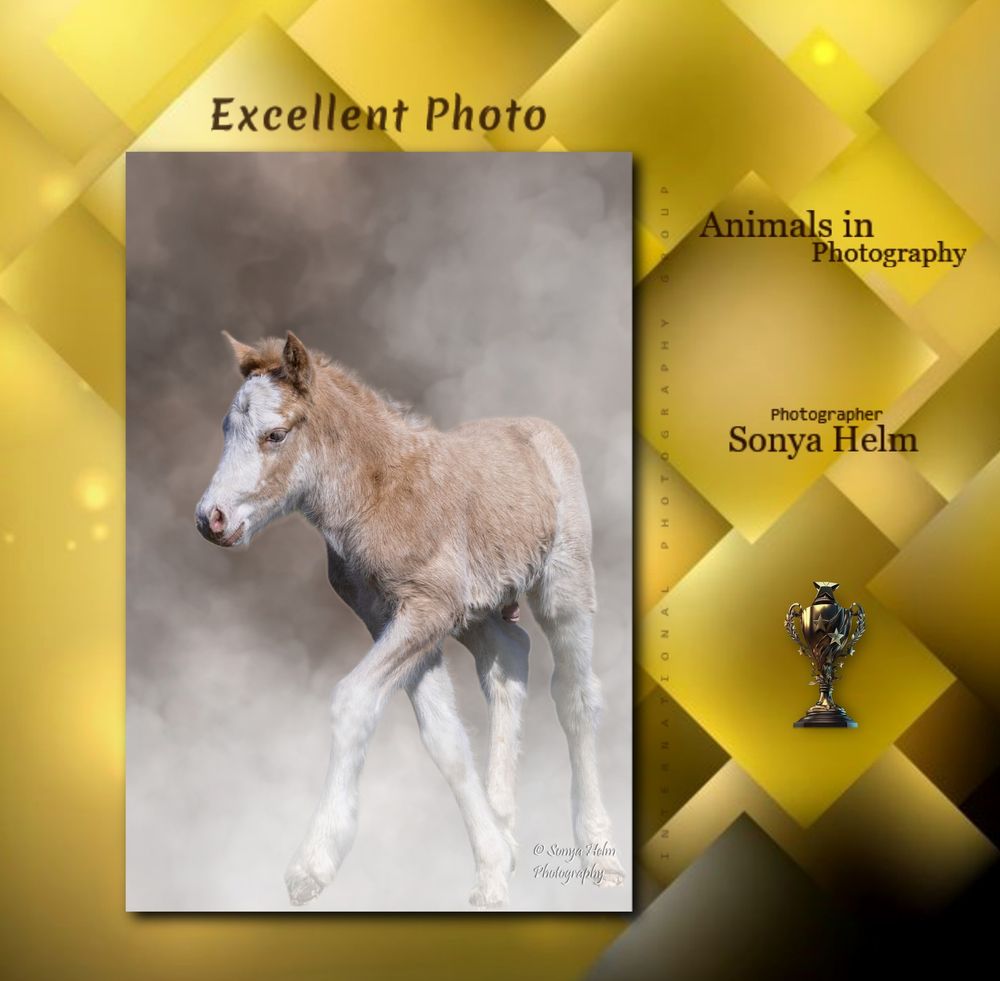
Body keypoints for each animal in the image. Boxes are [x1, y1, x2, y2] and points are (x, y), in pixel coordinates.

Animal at [195, 331, 625, 907]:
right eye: (226, 428)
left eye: (275, 434)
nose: (211, 519)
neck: (380, 495)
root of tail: (538, 428)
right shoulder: (390, 619)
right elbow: (445, 739)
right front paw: (493, 866)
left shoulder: (426, 610)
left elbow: (353, 700)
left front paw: (312, 865)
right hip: (477, 614)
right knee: (509, 657)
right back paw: (506, 823)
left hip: (564, 586)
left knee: (576, 696)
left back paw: (599, 855)